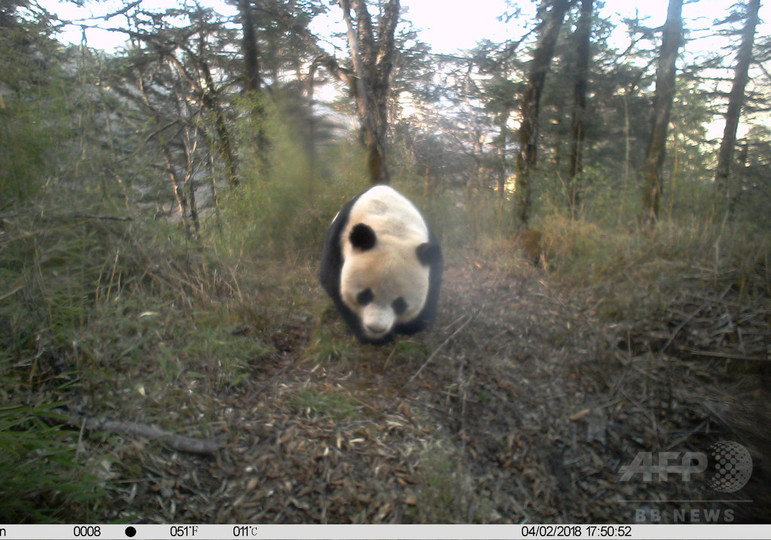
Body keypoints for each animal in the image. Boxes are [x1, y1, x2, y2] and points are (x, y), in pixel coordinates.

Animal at [318, 186, 440, 344]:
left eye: (399, 304)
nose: (376, 328)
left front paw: (411, 326)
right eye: (364, 295)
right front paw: (369, 336)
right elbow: (333, 283)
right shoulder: (338, 240)